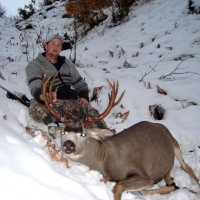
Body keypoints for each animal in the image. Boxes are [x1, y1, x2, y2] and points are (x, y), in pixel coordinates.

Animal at [41, 73, 199, 200]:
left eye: (83, 134)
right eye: (63, 132)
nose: (68, 145)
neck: (103, 160)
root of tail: (158, 125)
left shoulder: (141, 173)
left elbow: (118, 186)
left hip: (174, 142)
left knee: (186, 167)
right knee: (170, 182)